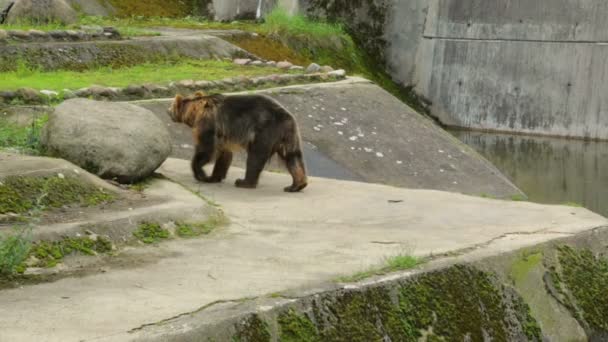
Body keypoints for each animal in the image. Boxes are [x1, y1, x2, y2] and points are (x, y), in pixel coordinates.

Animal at [169, 91, 306, 192]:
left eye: (171, 106)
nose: (168, 111)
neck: (195, 111)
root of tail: (286, 116)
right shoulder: (222, 135)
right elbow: (224, 155)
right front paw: (214, 176)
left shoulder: (208, 124)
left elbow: (205, 150)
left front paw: (201, 174)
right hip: (288, 135)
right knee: (292, 157)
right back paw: (296, 185)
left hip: (264, 130)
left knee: (255, 156)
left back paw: (244, 182)